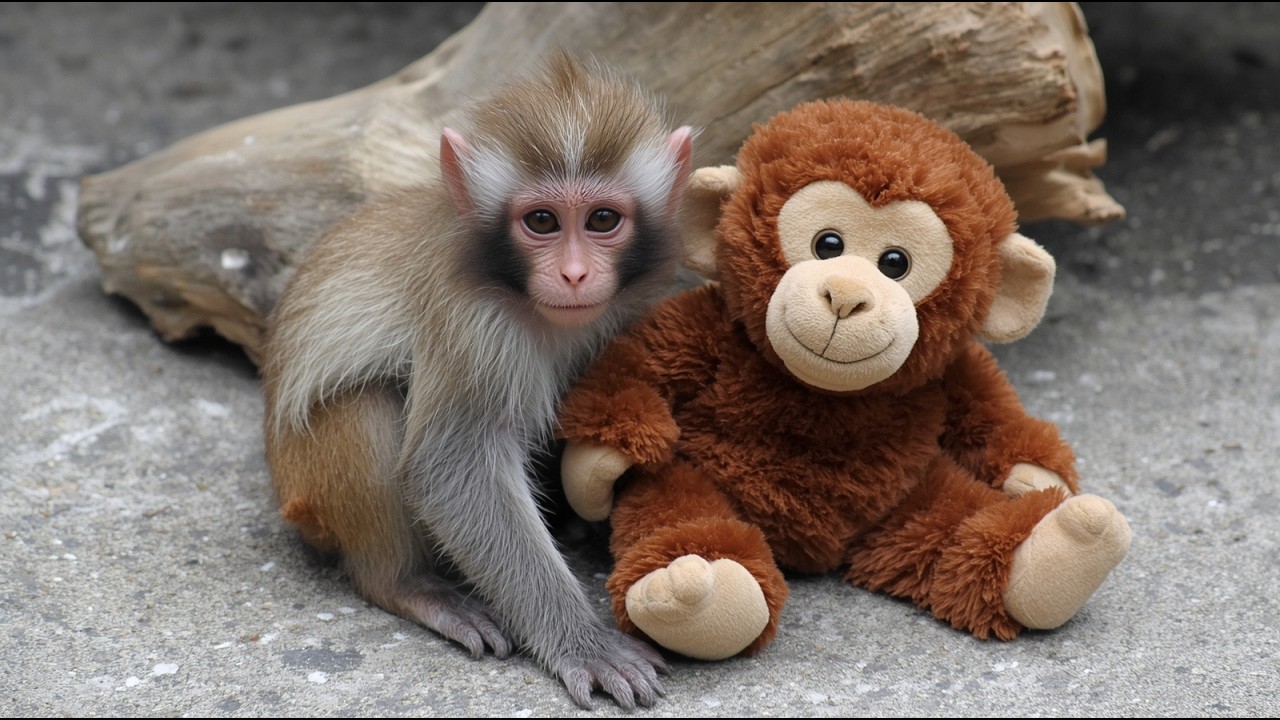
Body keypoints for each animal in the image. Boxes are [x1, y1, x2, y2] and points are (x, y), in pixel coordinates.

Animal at [259, 53, 695, 710]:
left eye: (602, 219)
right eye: (541, 221)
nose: (574, 274)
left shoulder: (643, 297)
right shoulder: (474, 323)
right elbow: (451, 466)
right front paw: (584, 642)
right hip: (304, 485)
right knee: (367, 404)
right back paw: (407, 585)